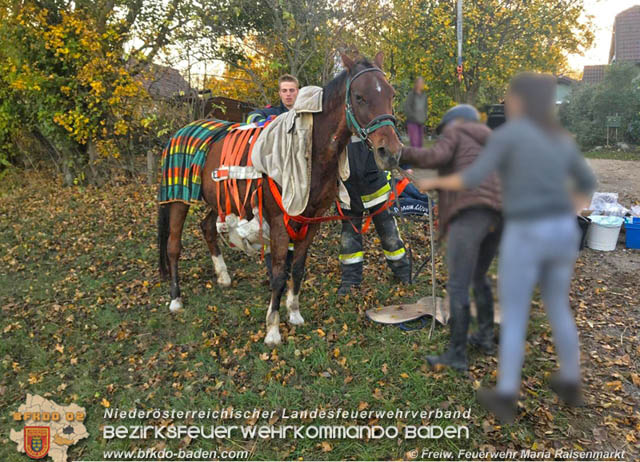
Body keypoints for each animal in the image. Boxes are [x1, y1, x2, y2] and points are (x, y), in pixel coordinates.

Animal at [158, 52, 402, 344]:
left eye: (390, 93)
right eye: (359, 97)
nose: (390, 152)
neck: (310, 151)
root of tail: (182, 130)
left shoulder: (311, 220)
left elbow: (296, 268)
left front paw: (294, 313)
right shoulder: (277, 222)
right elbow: (277, 274)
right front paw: (272, 330)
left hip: (221, 198)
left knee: (206, 227)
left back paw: (223, 276)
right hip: (178, 199)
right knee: (173, 246)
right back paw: (175, 299)